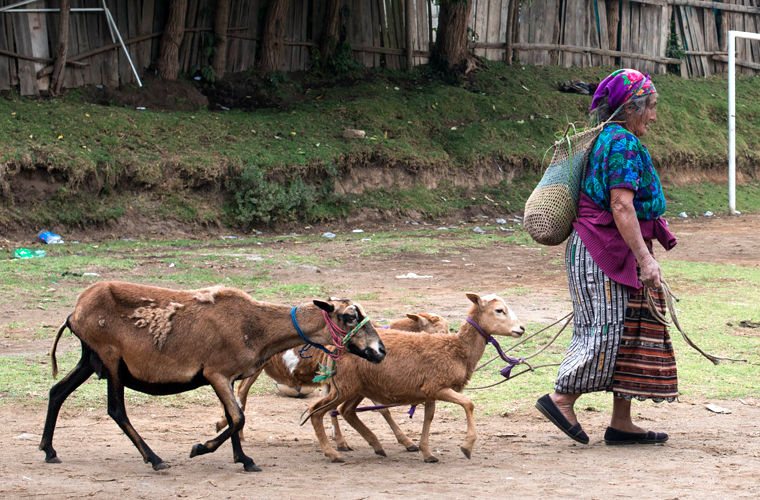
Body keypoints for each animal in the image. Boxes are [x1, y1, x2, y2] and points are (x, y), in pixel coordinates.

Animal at [40, 282, 386, 472]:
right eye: (349, 316)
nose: (380, 350)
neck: (256, 326)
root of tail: (75, 312)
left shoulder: (230, 377)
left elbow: (235, 416)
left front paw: (243, 459)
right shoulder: (216, 372)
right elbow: (237, 418)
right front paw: (201, 448)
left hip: (90, 358)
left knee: (57, 392)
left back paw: (49, 450)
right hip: (110, 358)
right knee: (116, 410)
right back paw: (155, 458)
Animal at [214, 312, 452, 450]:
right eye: (440, 330)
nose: (449, 343)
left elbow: (333, 409)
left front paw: (339, 441)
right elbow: (382, 410)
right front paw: (407, 442)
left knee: (241, 392)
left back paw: (232, 428)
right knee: (240, 392)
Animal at [308, 292, 524, 464]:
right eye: (499, 310)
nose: (521, 328)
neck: (458, 349)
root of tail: (335, 346)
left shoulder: (429, 393)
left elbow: (429, 418)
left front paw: (427, 452)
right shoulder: (437, 387)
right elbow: (468, 404)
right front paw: (467, 446)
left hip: (358, 387)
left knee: (346, 411)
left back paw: (377, 445)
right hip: (345, 387)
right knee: (316, 411)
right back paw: (333, 453)